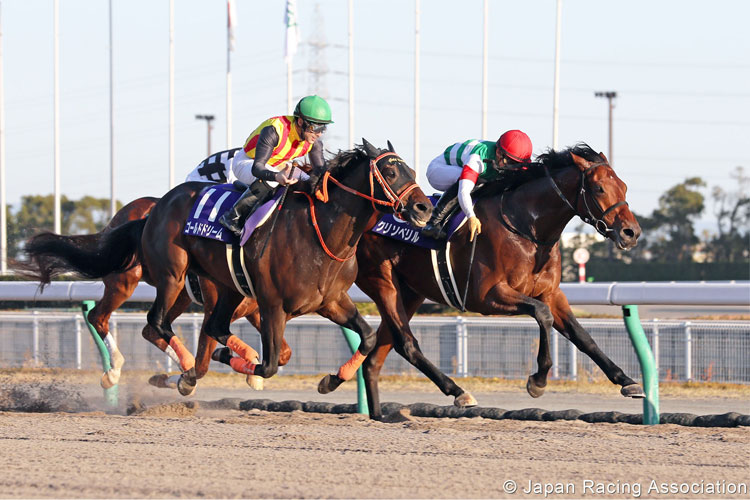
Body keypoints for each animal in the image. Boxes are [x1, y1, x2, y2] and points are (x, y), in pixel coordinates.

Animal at [25, 140, 428, 394]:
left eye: (410, 168)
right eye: (392, 173)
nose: (423, 207)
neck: (321, 233)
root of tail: (150, 210)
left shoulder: (327, 302)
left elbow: (367, 336)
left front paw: (331, 380)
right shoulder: (270, 305)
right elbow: (266, 361)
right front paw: (205, 371)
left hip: (204, 291)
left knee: (166, 326)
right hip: (160, 277)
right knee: (135, 320)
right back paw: (136, 371)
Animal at [352, 144, 648, 418]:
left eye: (623, 186)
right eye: (599, 188)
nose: (631, 232)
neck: (526, 227)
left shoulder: (551, 294)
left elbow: (582, 336)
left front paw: (628, 381)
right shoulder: (488, 297)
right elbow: (543, 315)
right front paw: (538, 380)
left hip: (411, 292)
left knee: (377, 357)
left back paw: (377, 415)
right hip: (383, 282)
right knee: (406, 344)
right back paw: (458, 392)